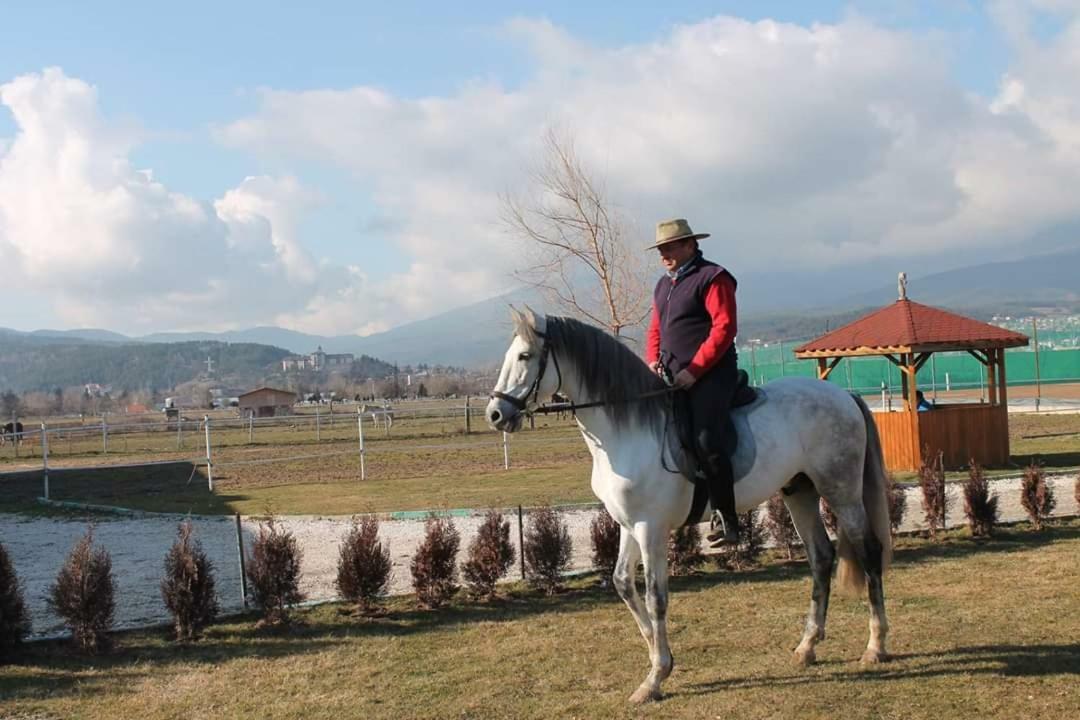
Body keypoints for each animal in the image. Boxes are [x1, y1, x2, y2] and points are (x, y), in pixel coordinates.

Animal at [486, 310, 889, 703]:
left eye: (525, 356)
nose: (495, 415)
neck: (629, 430)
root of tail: (844, 395)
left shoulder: (651, 528)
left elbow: (655, 596)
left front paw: (655, 677)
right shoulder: (629, 525)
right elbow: (622, 583)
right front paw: (659, 656)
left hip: (841, 490)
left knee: (868, 551)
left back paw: (875, 645)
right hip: (799, 492)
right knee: (820, 557)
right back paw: (807, 647)